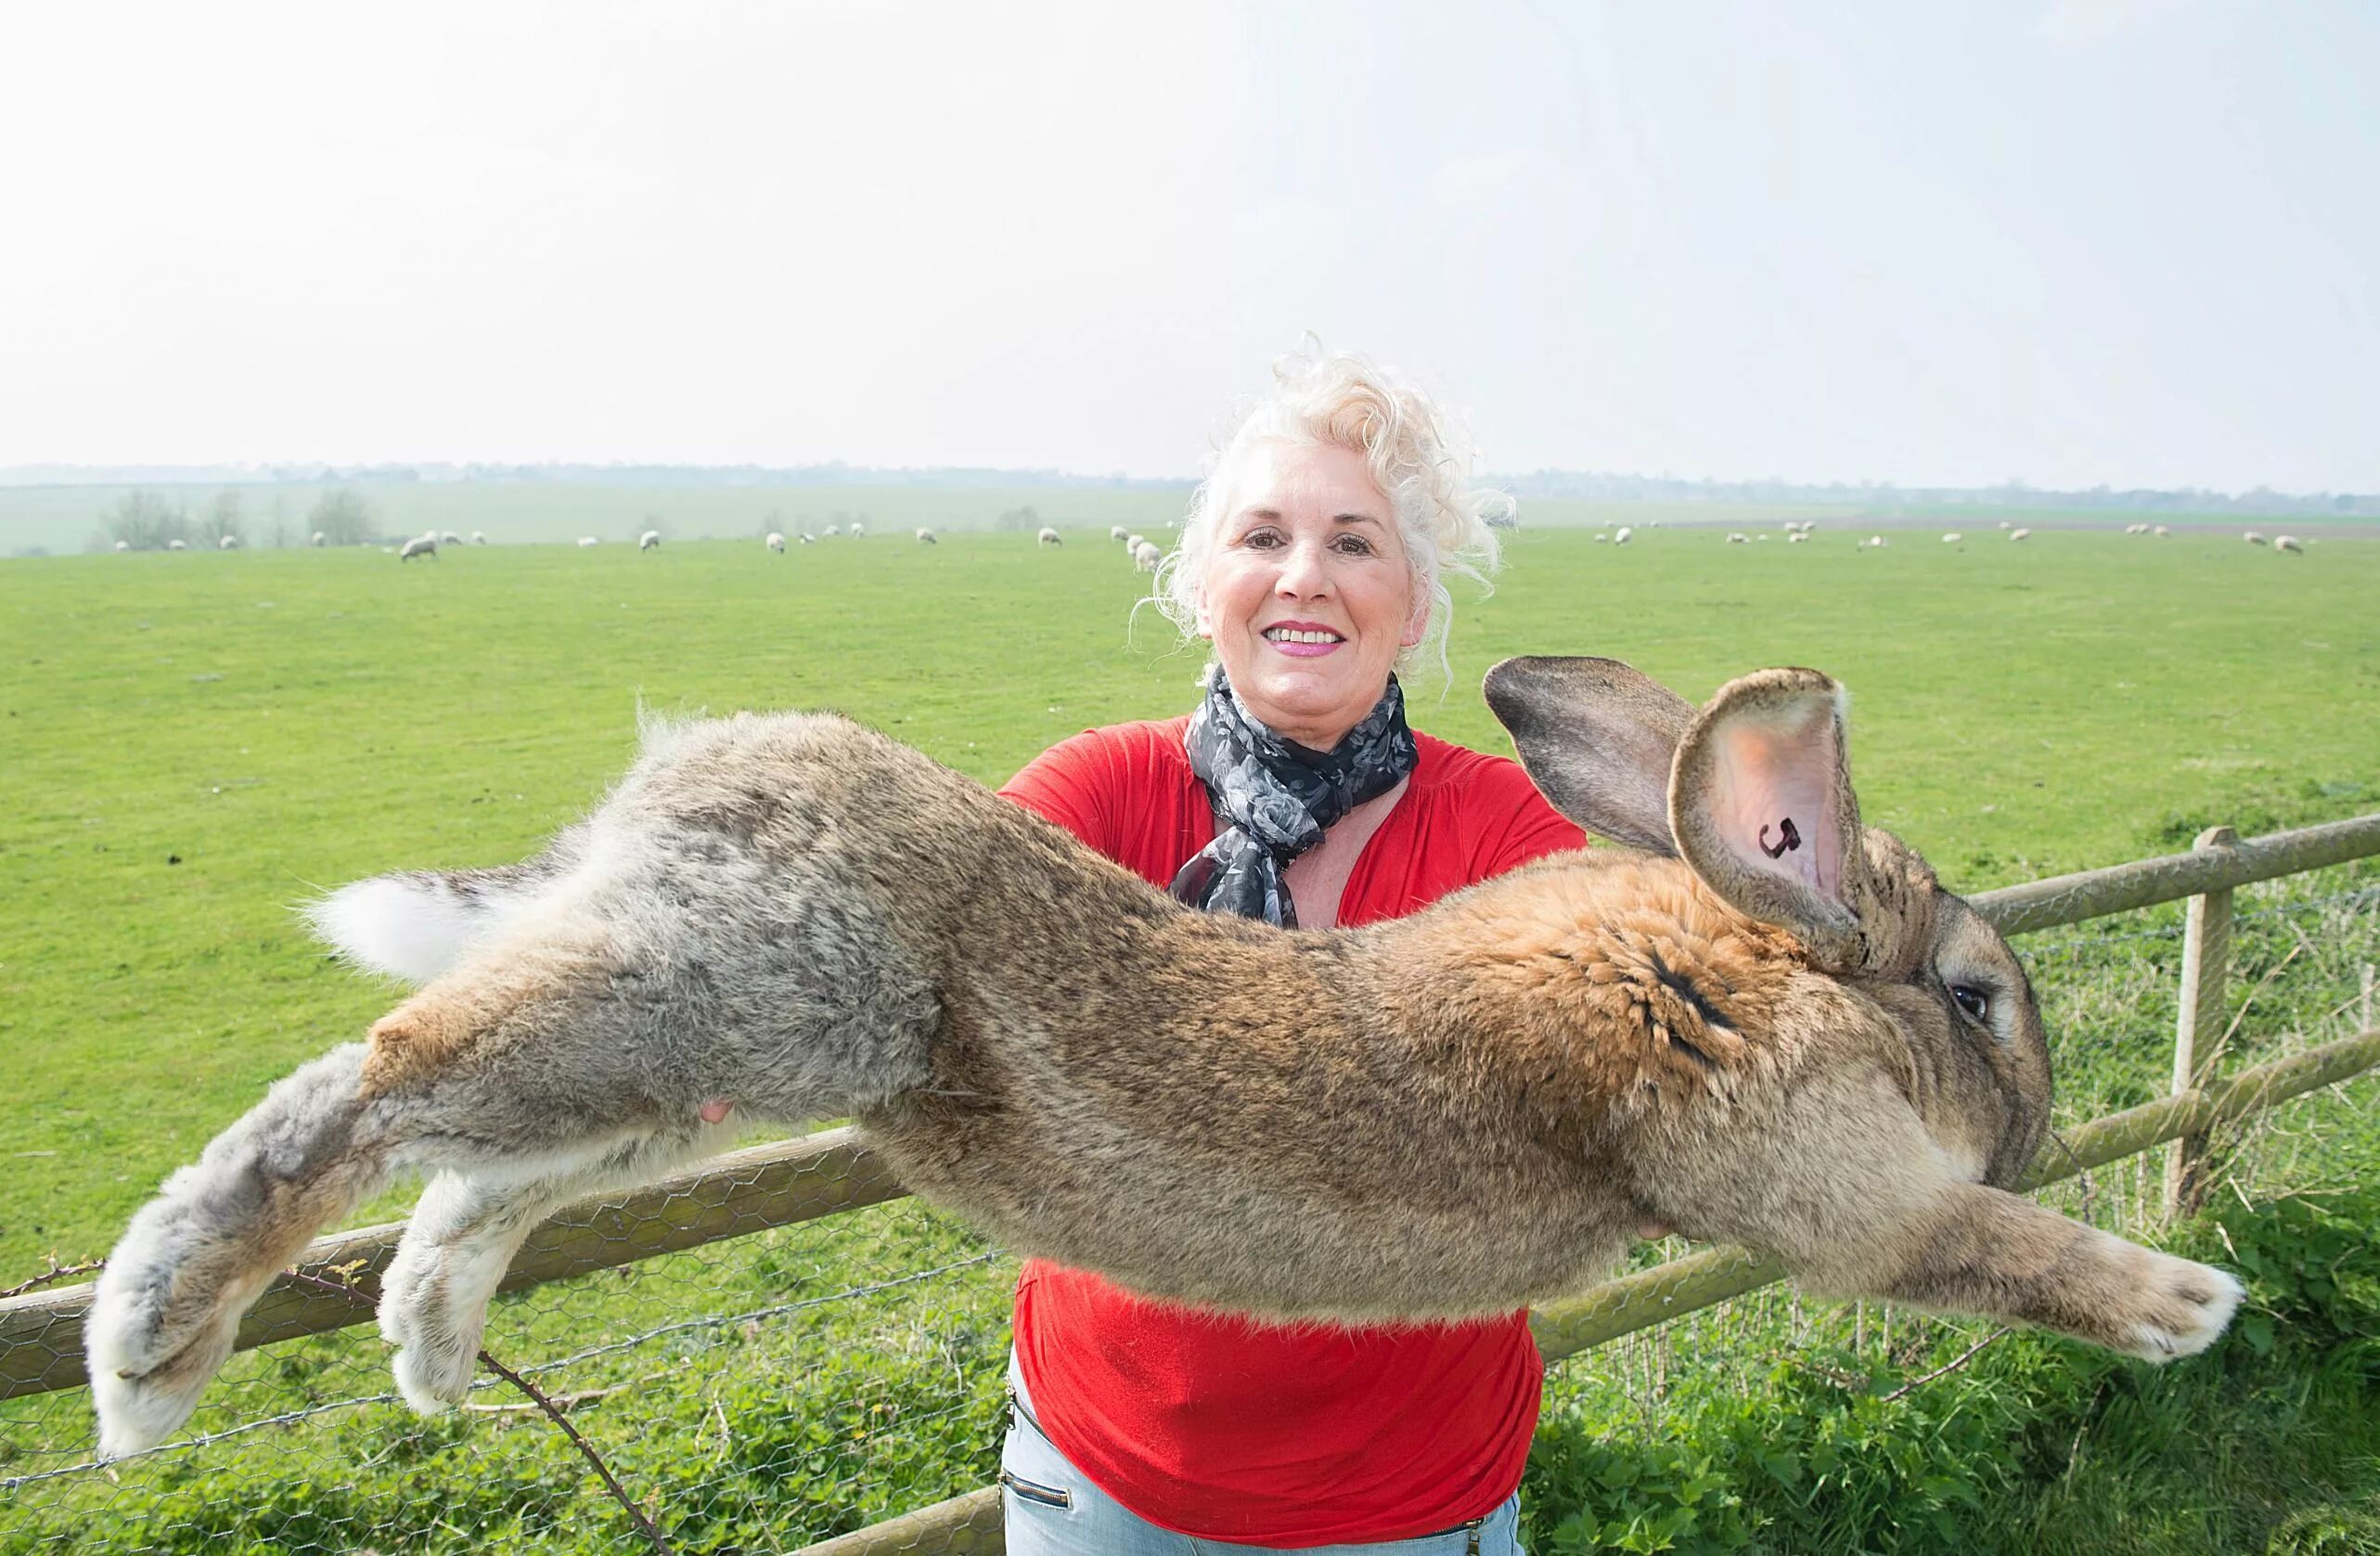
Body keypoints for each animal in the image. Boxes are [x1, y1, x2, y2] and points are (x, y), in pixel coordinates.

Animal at [97, 661, 2246, 1465]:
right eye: (1978, 998)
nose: (2034, 1129)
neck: (1729, 958)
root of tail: (673, 783)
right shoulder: (1820, 1181)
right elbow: (1983, 1258)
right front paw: (2190, 1303)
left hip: (711, 1059)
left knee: (481, 1169)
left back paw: (427, 1351)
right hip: (735, 993)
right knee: (362, 1088)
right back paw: (147, 1354)